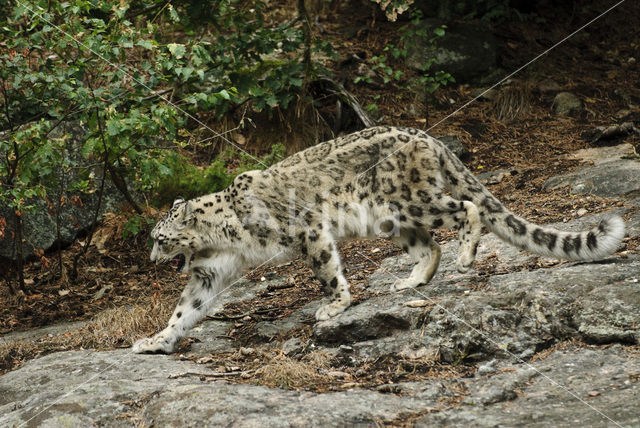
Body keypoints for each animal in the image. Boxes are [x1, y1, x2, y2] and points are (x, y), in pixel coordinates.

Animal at [131, 125, 624, 352]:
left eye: (161, 238)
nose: (152, 260)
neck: (223, 242)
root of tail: (426, 136)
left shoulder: (308, 228)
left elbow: (327, 270)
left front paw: (333, 305)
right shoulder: (209, 273)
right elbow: (185, 310)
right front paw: (155, 341)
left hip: (411, 201)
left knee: (465, 209)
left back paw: (466, 255)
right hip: (393, 219)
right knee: (429, 245)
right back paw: (411, 281)